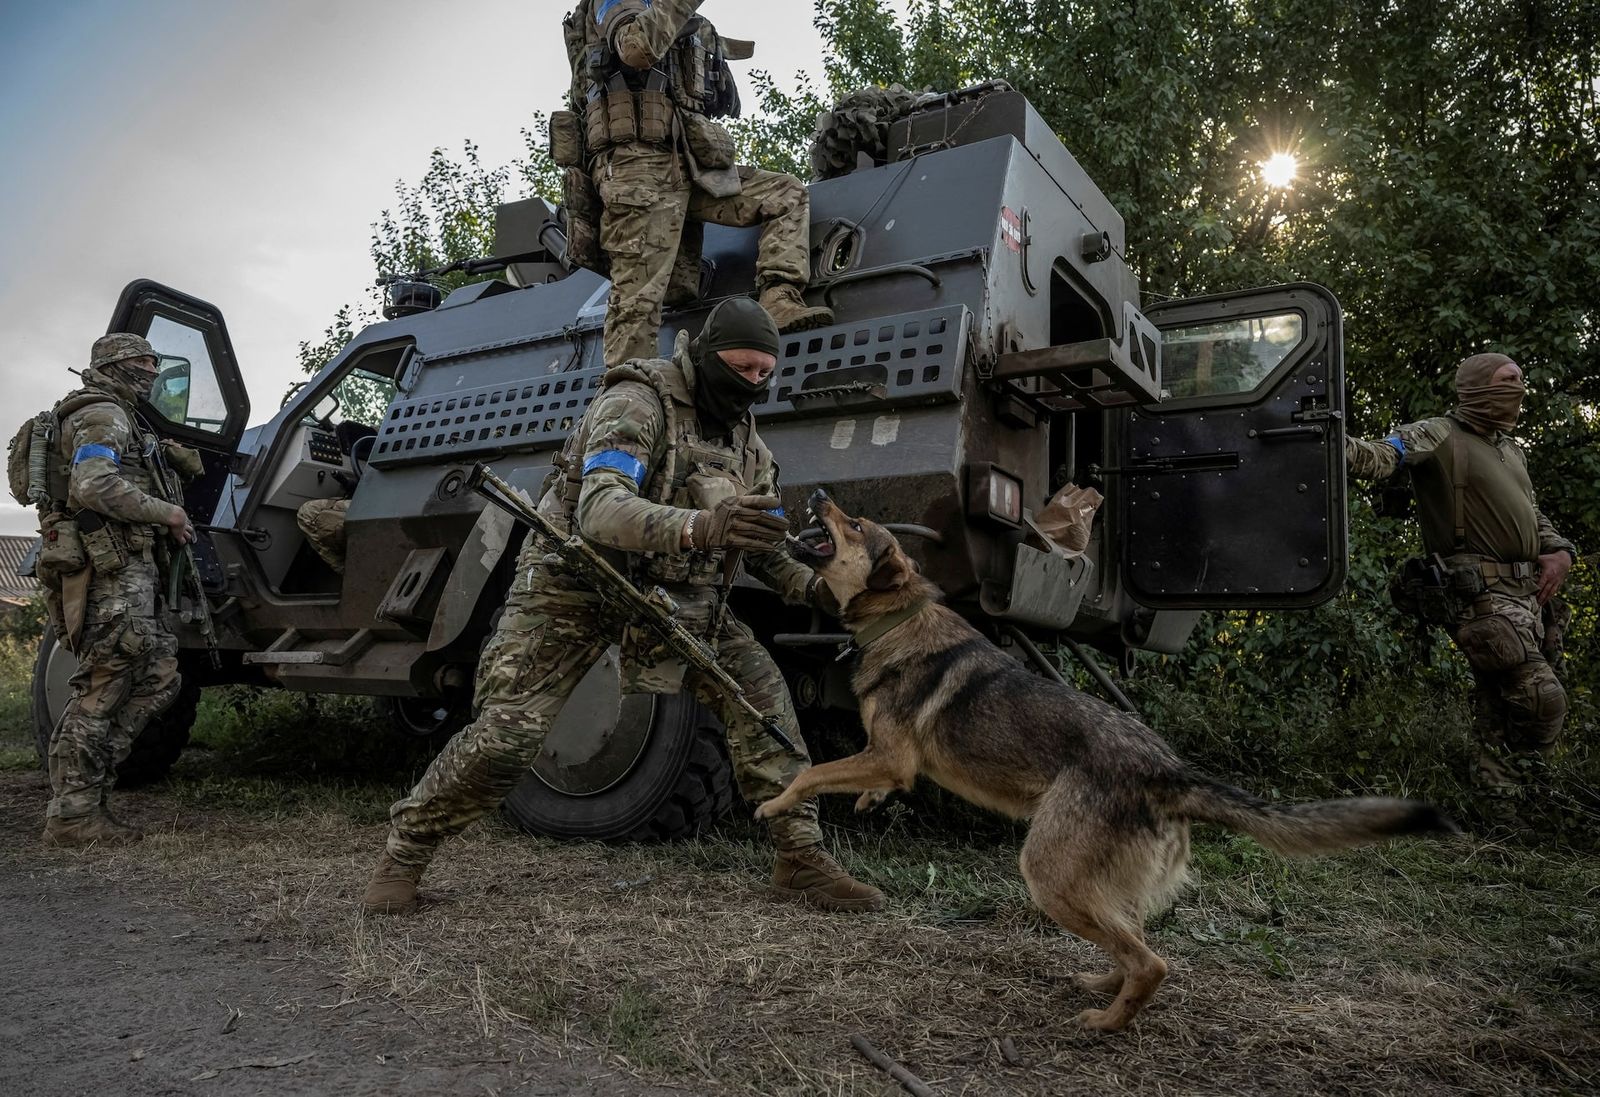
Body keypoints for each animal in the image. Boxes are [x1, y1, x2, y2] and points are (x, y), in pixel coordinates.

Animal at [755, 495, 1459, 1036]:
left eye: (853, 525)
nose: (817, 494)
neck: (896, 621)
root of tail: (1171, 772)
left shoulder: (888, 755)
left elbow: (810, 771)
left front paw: (773, 803)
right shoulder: (889, 762)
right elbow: (853, 781)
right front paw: (866, 802)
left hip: (1048, 873)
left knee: (1153, 962)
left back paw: (1107, 1023)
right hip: (1095, 883)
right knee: (1132, 939)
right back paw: (1103, 983)